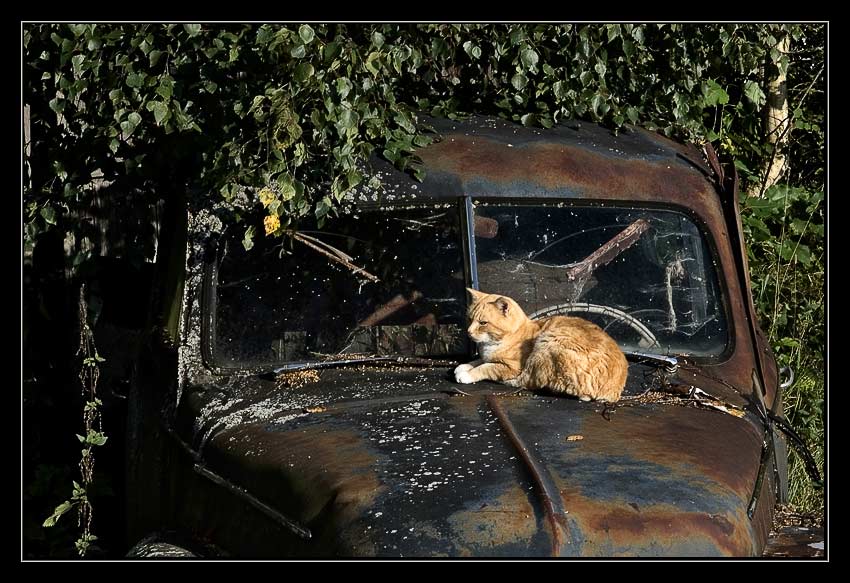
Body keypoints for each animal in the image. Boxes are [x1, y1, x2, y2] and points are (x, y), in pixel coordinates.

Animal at [454, 290, 628, 404]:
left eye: (483, 323)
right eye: (469, 319)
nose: (468, 331)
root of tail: (613, 391)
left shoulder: (512, 367)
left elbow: (487, 367)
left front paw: (467, 374)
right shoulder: (486, 355)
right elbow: (479, 360)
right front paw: (464, 366)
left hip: (547, 344)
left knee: (528, 381)